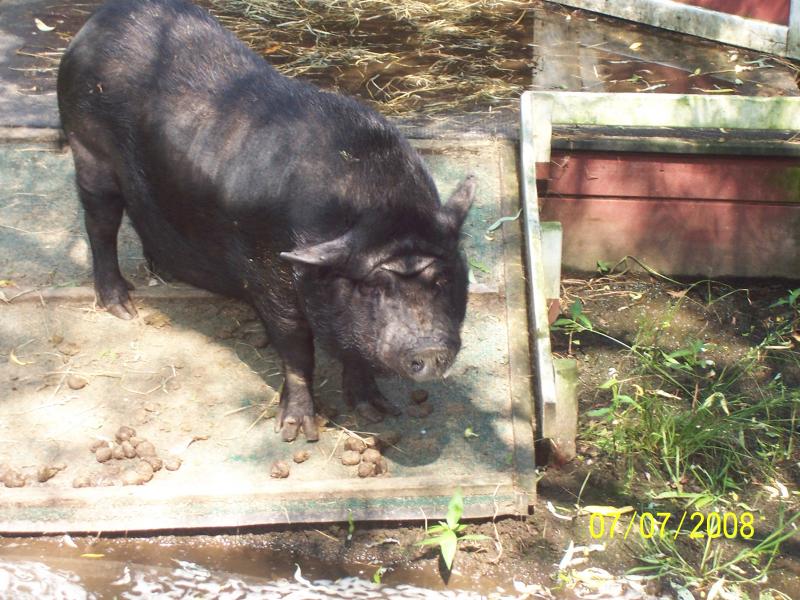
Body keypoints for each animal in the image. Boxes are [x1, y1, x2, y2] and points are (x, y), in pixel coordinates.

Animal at [57, 0, 475, 442]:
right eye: (373, 287)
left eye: (443, 280)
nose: (429, 348)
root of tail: (100, 20)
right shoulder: (267, 269)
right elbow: (295, 345)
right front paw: (296, 431)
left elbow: (353, 349)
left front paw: (378, 413)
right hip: (87, 147)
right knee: (100, 222)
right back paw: (123, 307)